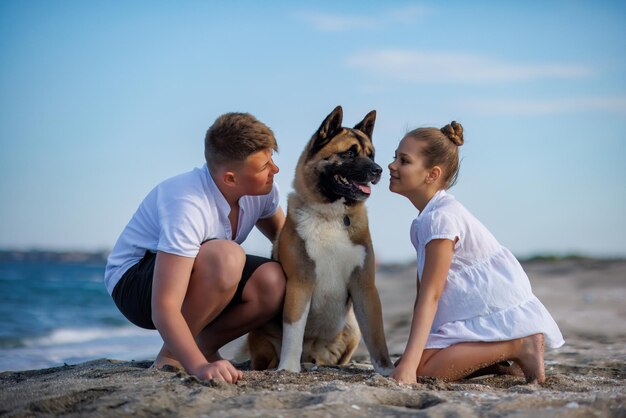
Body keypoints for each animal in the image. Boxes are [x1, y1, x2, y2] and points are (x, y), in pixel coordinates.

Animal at [246, 105, 392, 376]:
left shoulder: (365, 286)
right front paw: (288, 368)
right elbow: (294, 330)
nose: (378, 170)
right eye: (349, 153)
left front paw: (387, 370)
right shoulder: (300, 283)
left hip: (352, 328)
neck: (331, 215)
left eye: (371, 154)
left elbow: (377, 334)